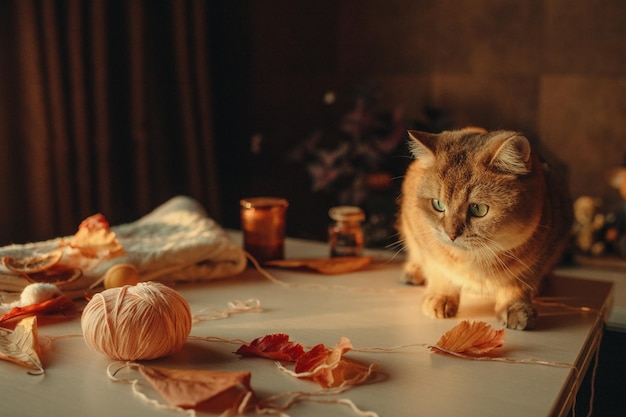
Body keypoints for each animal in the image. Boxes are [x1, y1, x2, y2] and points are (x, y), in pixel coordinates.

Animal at [394, 127, 572, 328]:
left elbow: (520, 281)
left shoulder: (544, 250)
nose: (451, 234)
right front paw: (441, 297)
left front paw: (515, 306)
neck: (475, 258)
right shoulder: (424, 242)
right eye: (438, 204)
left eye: (478, 209)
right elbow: (439, 270)